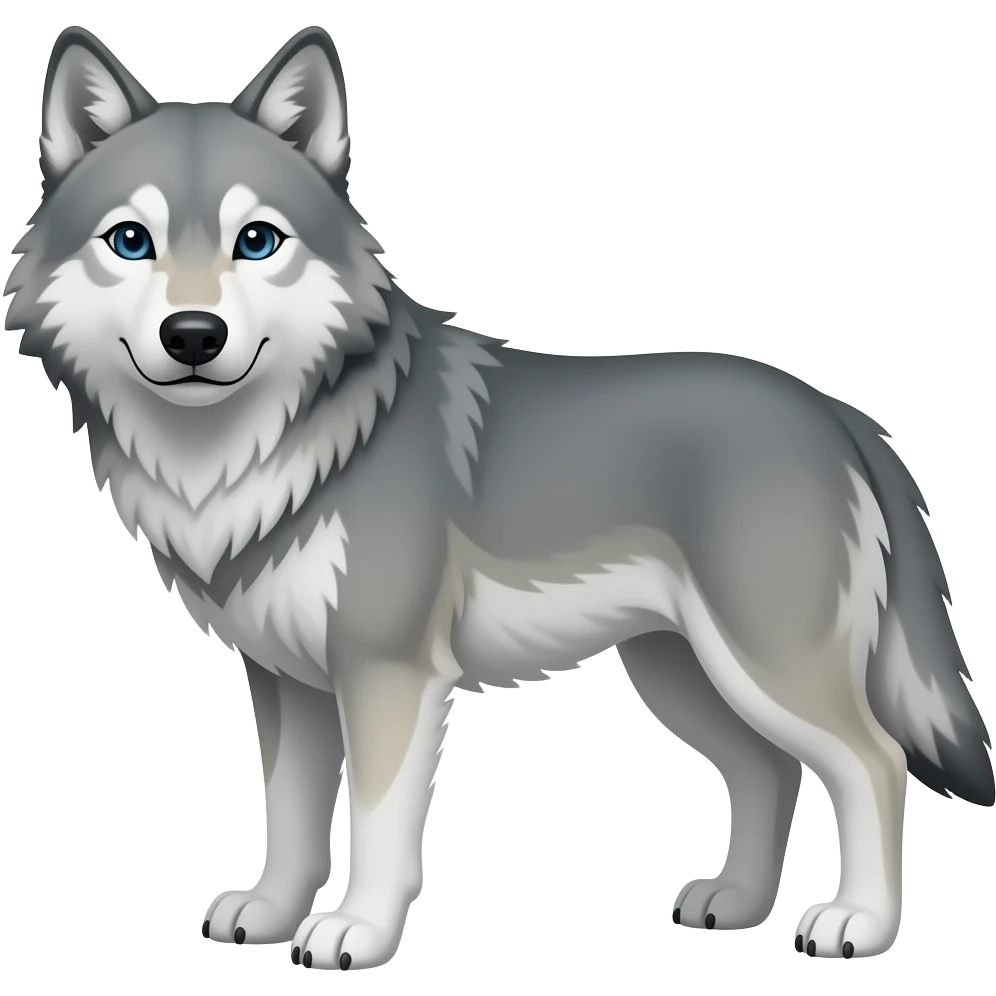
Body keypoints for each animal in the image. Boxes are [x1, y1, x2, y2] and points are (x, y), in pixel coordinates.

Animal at [4, 23, 991, 971]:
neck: (254, 453)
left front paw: (355, 933)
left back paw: (858, 923)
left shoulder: (390, 674)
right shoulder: (286, 680)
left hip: (762, 666)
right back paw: (736, 906)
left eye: (257, 241)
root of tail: (838, 413)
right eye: (131, 241)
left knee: (874, 763)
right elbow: (289, 819)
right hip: (683, 673)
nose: (194, 335)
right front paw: (271, 914)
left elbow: (376, 826)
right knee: (768, 773)